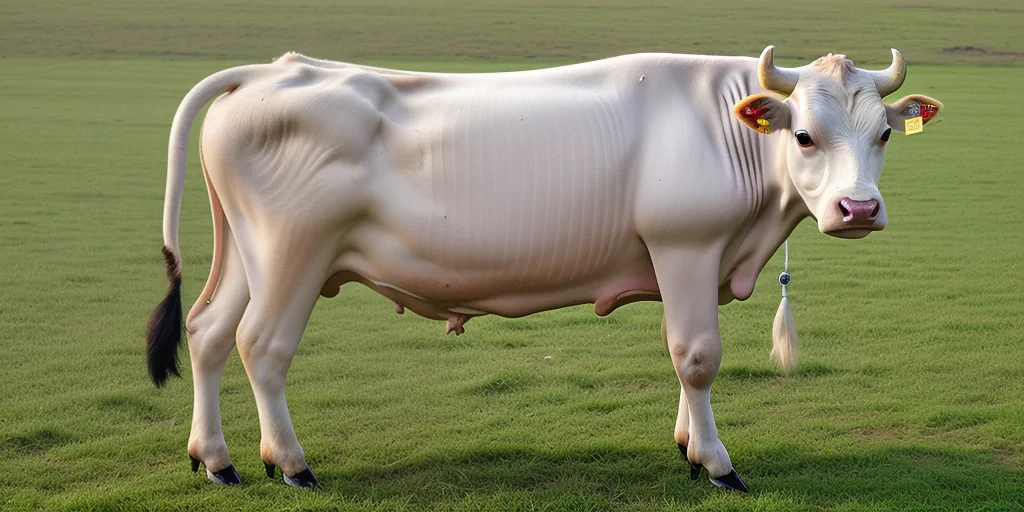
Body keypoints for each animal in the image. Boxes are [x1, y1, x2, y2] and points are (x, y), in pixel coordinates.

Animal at [146, 46, 942, 492]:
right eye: (803, 135)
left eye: (883, 133)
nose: (858, 209)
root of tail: (272, 72)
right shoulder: (685, 245)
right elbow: (697, 356)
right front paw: (718, 465)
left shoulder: (692, 260)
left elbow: (682, 357)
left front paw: (688, 444)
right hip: (294, 252)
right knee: (263, 346)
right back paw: (291, 463)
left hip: (248, 250)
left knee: (208, 332)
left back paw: (215, 459)